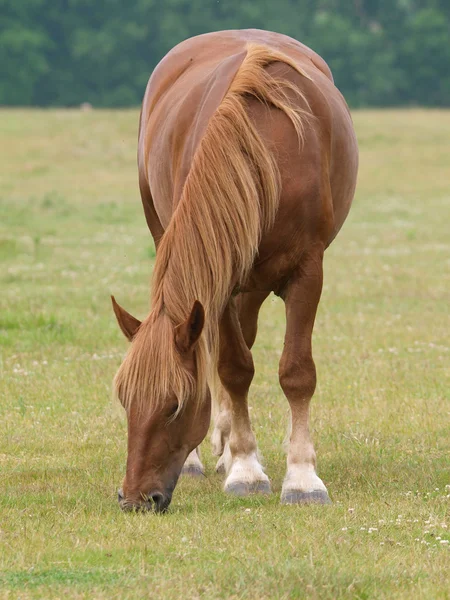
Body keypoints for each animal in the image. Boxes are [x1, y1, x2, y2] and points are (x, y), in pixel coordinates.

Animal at [112, 29, 358, 510]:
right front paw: (246, 467)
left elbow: (296, 371)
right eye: (125, 401)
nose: (135, 499)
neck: (268, 153)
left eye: (175, 405)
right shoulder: (219, 284)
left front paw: (301, 478)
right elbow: (233, 367)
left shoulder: (307, 272)